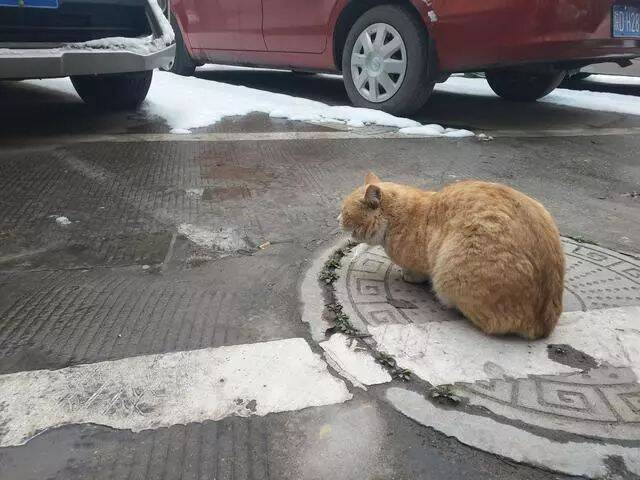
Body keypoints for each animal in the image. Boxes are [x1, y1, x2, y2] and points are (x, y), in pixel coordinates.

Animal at [340, 174, 564, 340]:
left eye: (345, 213)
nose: (337, 218)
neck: (396, 219)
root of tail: (543, 324)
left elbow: (415, 272)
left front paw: (408, 276)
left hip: (450, 274)